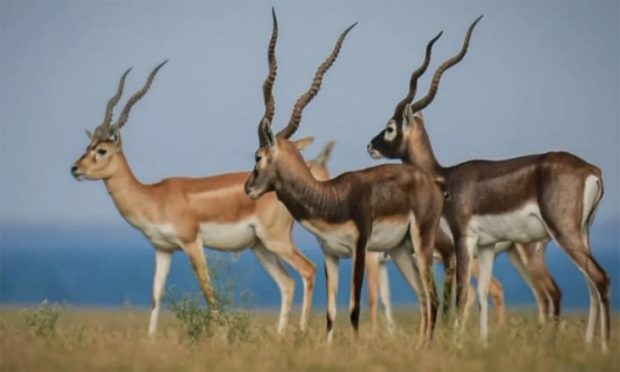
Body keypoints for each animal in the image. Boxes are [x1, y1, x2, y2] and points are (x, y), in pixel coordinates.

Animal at [245, 21, 448, 346]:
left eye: (258, 156)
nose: (248, 188)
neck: (332, 198)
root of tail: (430, 182)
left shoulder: (359, 250)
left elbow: (353, 309)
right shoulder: (330, 254)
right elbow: (330, 313)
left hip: (422, 242)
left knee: (433, 297)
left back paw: (426, 349)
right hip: (401, 251)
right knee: (422, 298)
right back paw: (418, 348)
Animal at [366, 16, 608, 350]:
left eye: (390, 127)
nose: (370, 145)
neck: (445, 176)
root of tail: (591, 169)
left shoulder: (462, 240)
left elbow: (461, 295)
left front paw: (455, 345)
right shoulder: (488, 246)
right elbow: (480, 294)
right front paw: (480, 343)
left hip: (562, 233)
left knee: (597, 279)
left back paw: (603, 346)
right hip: (583, 233)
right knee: (590, 285)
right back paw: (587, 345)